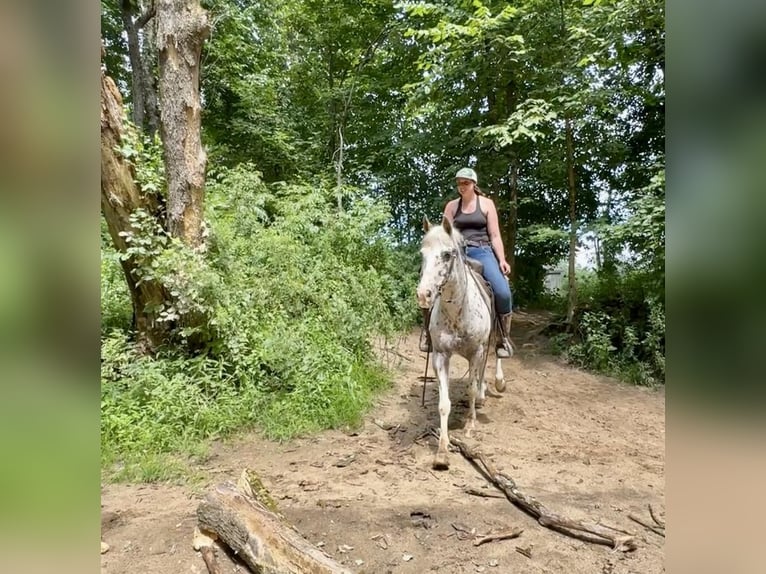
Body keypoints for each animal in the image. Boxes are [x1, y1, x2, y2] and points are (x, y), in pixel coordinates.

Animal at [416, 218, 508, 470]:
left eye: (447, 254)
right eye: (422, 254)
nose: (423, 295)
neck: (457, 311)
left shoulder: (476, 351)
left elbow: (470, 388)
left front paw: (469, 425)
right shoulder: (440, 356)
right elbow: (443, 403)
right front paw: (442, 452)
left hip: (491, 338)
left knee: (494, 356)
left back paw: (496, 384)